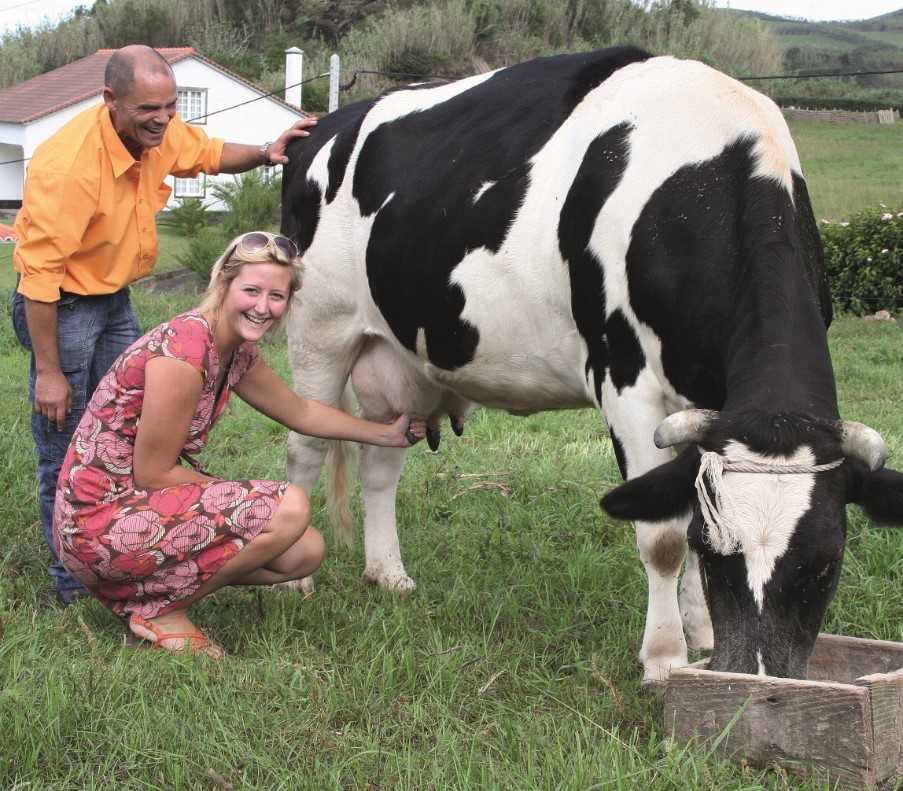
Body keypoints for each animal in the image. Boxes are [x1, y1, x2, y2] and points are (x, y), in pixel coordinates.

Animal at [282, 48, 903, 680]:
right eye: (716, 555)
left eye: (827, 561)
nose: (751, 674)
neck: (702, 180)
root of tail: (324, 127)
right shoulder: (626, 382)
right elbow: (663, 536)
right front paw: (665, 659)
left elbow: (683, 501)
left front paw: (702, 637)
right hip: (319, 329)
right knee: (305, 446)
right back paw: (295, 584)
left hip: (398, 360)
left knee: (380, 464)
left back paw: (388, 575)